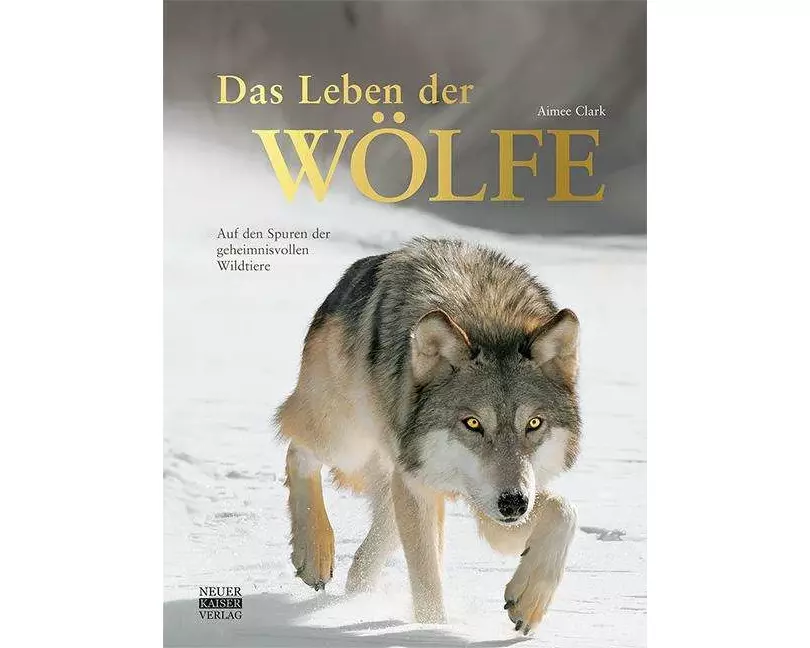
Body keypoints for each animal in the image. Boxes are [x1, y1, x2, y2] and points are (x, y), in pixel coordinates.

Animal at [276, 237, 581, 634]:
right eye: (472, 423)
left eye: (533, 424)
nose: (513, 503)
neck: (488, 318)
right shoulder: (423, 486)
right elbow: (426, 582)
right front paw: (432, 630)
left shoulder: (495, 507)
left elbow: (564, 511)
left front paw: (529, 601)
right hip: (347, 440)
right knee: (297, 450)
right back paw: (314, 554)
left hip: (398, 477)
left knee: (371, 548)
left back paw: (357, 596)